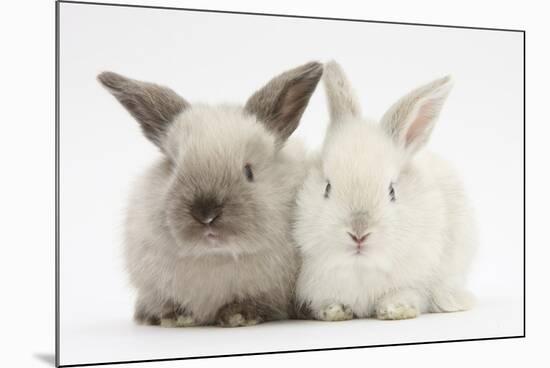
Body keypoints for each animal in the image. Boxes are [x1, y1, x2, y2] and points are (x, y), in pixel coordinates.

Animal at [97, 61, 326, 328]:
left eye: (248, 171)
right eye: (174, 168)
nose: (206, 214)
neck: (215, 256)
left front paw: (238, 315)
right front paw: (172, 316)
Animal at [296, 61, 480, 322]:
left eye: (392, 191)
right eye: (327, 187)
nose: (359, 234)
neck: (361, 267)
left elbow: (407, 293)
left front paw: (396, 310)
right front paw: (334, 311)